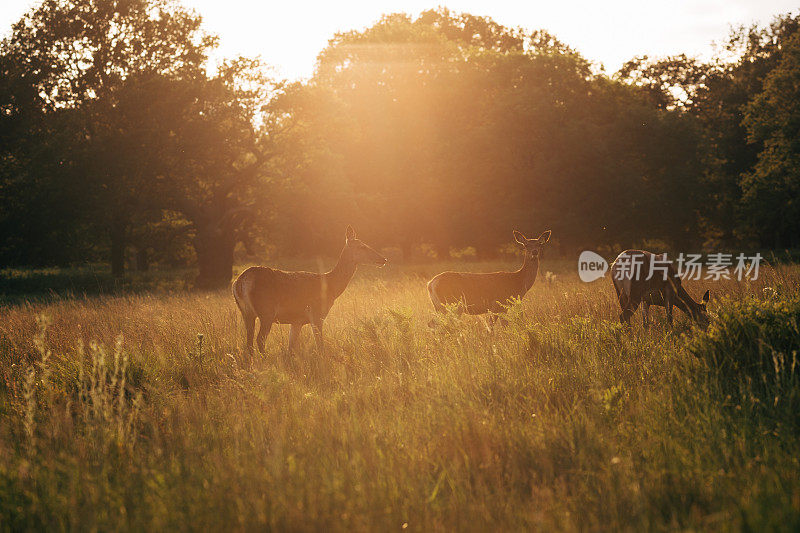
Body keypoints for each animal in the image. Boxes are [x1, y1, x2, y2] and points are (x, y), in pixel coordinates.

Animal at [231, 224, 388, 362]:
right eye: (362, 246)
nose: (383, 259)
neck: (331, 286)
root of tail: (240, 282)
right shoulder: (317, 314)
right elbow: (320, 346)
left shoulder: (297, 321)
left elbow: (291, 349)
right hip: (266, 310)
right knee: (260, 339)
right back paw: (265, 363)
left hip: (246, 312)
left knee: (249, 341)